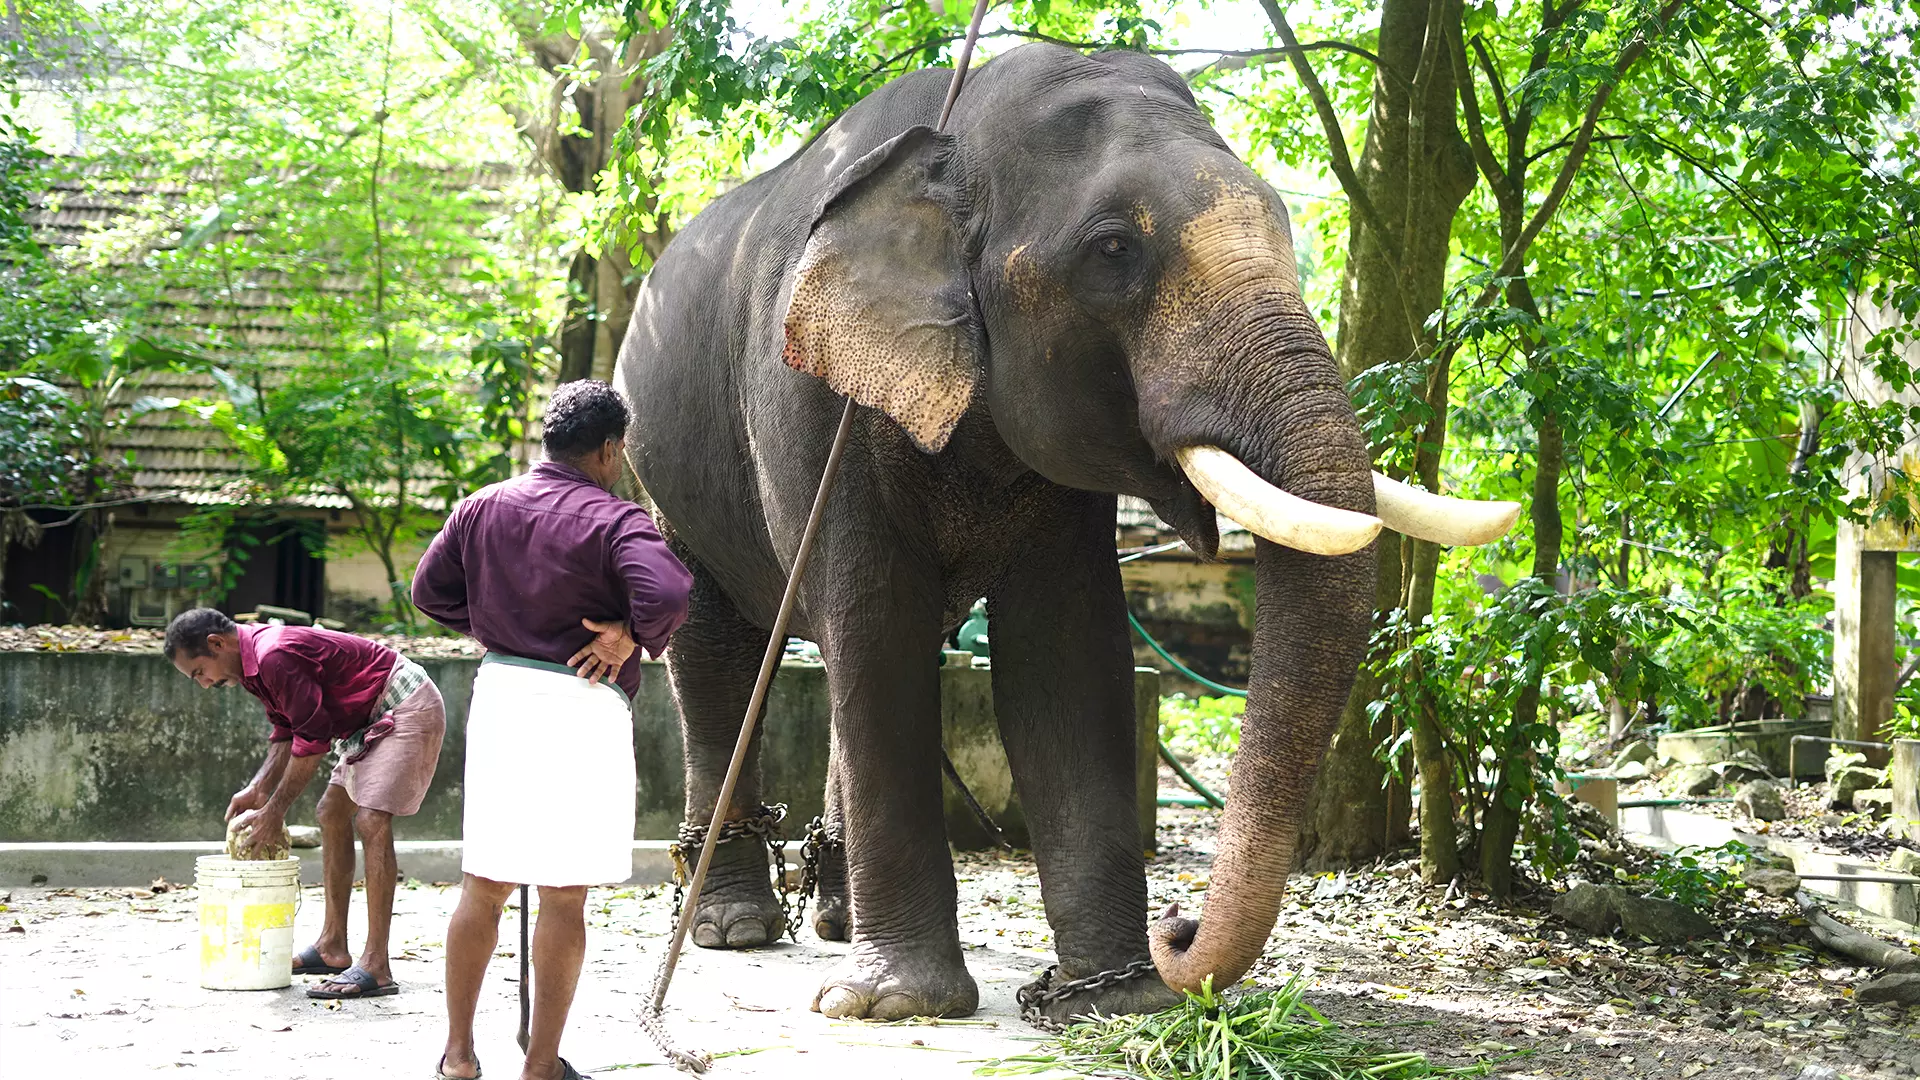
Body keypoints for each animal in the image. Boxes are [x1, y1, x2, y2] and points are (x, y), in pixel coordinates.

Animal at [618, 42, 1512, 1014]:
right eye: (1113, 249)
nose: (1178, 929)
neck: (958, 131)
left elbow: (1067, 650)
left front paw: (1118, 998)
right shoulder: (815, 406)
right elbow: (875, 625)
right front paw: (899, 1006)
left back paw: (835, 923)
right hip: (664, 475)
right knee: (721, 656)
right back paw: (734, 929)